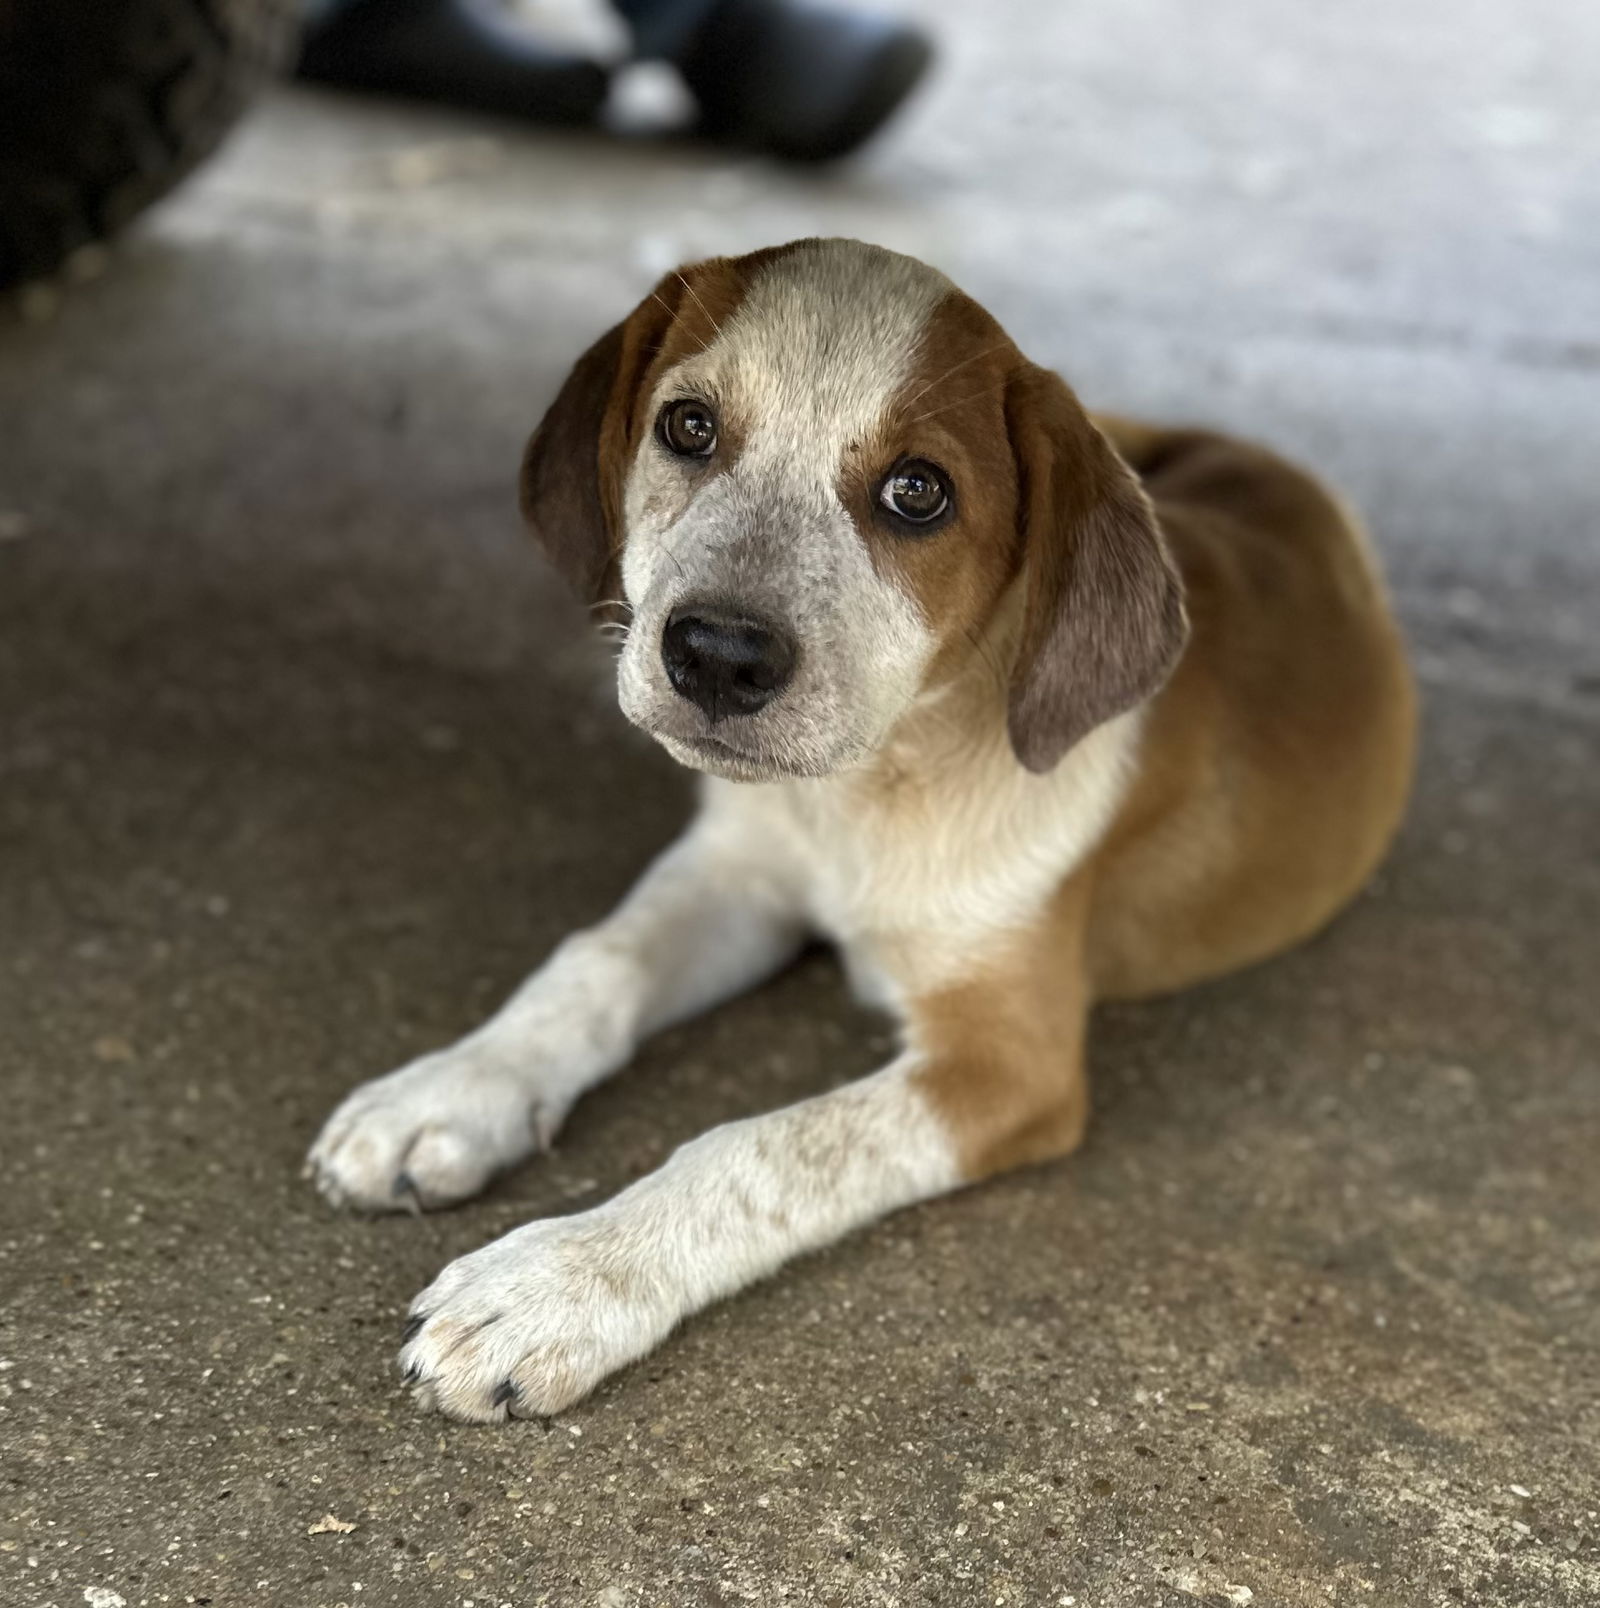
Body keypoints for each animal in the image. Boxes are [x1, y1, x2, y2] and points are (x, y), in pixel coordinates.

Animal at [303, 234, 1415, 1421]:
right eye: (687, 425)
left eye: (917, 492)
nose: (717, 657)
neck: (864, 793)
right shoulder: (739, 875)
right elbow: (594, 962)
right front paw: (446, 1093)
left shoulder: (1006, 1064)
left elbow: (756, 1151)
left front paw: (555, 1283)